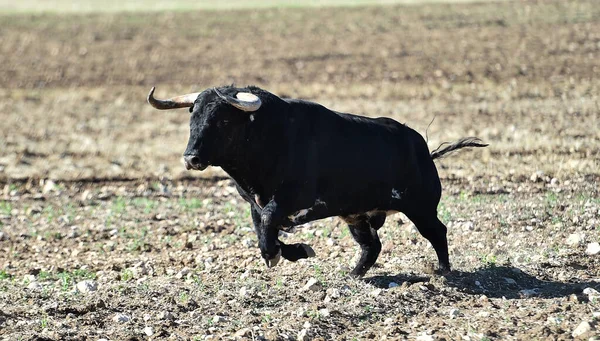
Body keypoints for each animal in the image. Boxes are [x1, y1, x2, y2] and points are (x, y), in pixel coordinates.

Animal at [146, 85, 488, 276]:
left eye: (223, 120)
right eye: (193, 116)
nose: (191, 158)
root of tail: (422, 148)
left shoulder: (293, 199)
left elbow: (270, 224)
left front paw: (285, 253)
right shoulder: (256, 203)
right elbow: (263, 230)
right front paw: (290, 252)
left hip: (420, 208)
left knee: (437, 232)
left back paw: (443, 271)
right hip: (357, 214)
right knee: (372, 246)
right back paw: (352, 275)